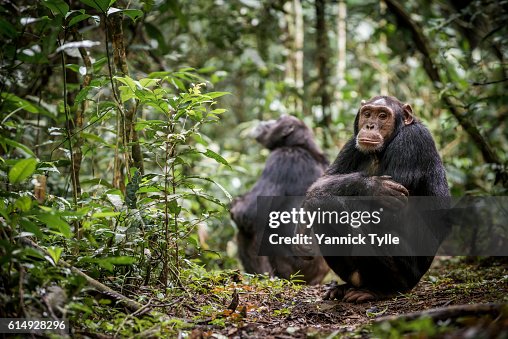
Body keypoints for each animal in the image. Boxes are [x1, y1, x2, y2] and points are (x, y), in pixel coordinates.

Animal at [230, 115, 330, 286]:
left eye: (278, 119)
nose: (267, 122)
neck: (302, 146)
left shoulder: (282, 159)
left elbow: (246, 213)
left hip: (296, 271)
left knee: (250, 232)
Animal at [302, 95, 448, 302]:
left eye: (382, 115)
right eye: (368, 114)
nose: (370, 125)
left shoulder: (412, 141)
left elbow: (389, 215)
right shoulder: (351, 144)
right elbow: (324, 181)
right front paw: (373, 187)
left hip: (408, 275)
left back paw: (381, 289)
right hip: (356, 275)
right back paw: (344, 287)